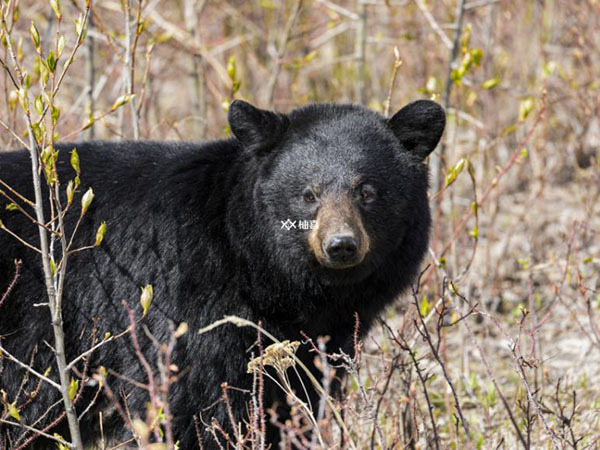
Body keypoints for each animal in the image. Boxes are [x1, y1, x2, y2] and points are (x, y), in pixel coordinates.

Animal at [1, 98, 446, 446]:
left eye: (367, 191)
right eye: (309, 194)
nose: (341, 245)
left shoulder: (315, 339)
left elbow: (294, 399)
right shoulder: (188, 301)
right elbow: (194, 406)